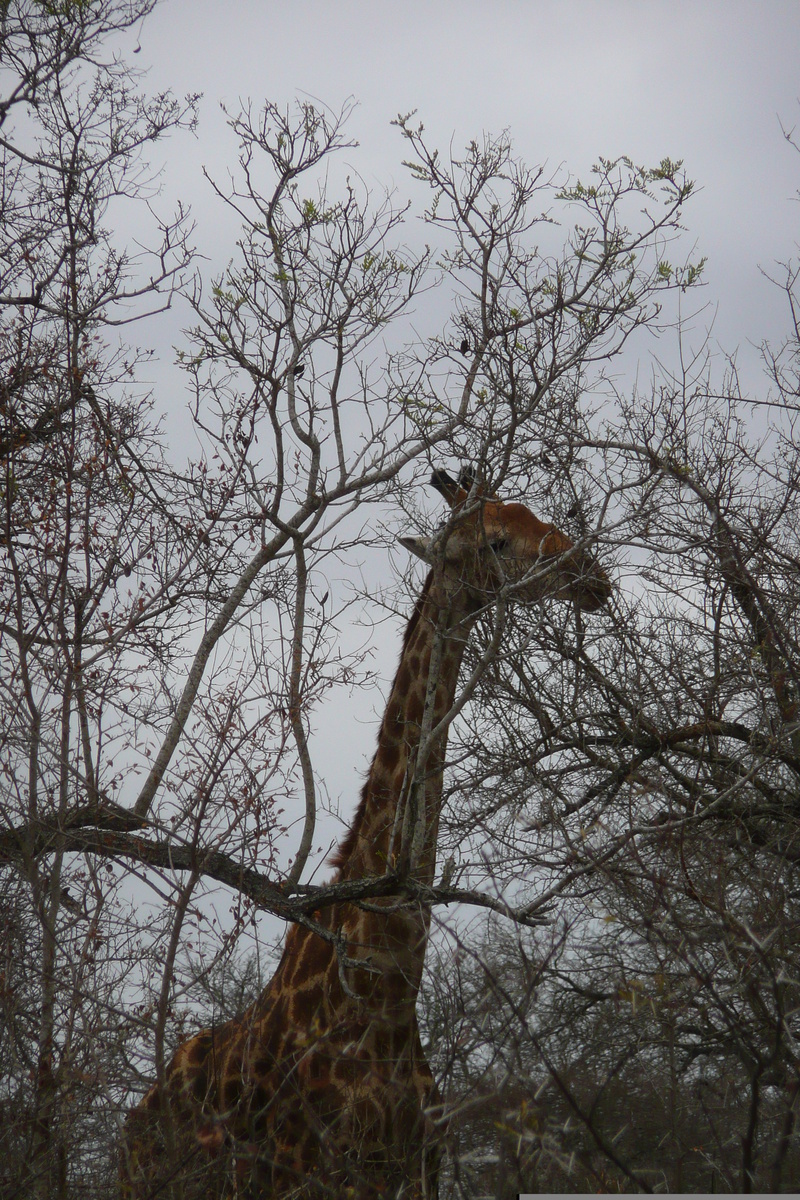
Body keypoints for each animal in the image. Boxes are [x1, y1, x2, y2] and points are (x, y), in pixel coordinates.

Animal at [118, 468, 609, 1200]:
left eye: (532, 514)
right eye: (495, 540)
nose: (591, 576)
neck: (388, 997)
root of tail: (133, 1121)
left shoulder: (417, 1169)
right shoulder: (316, 1174)